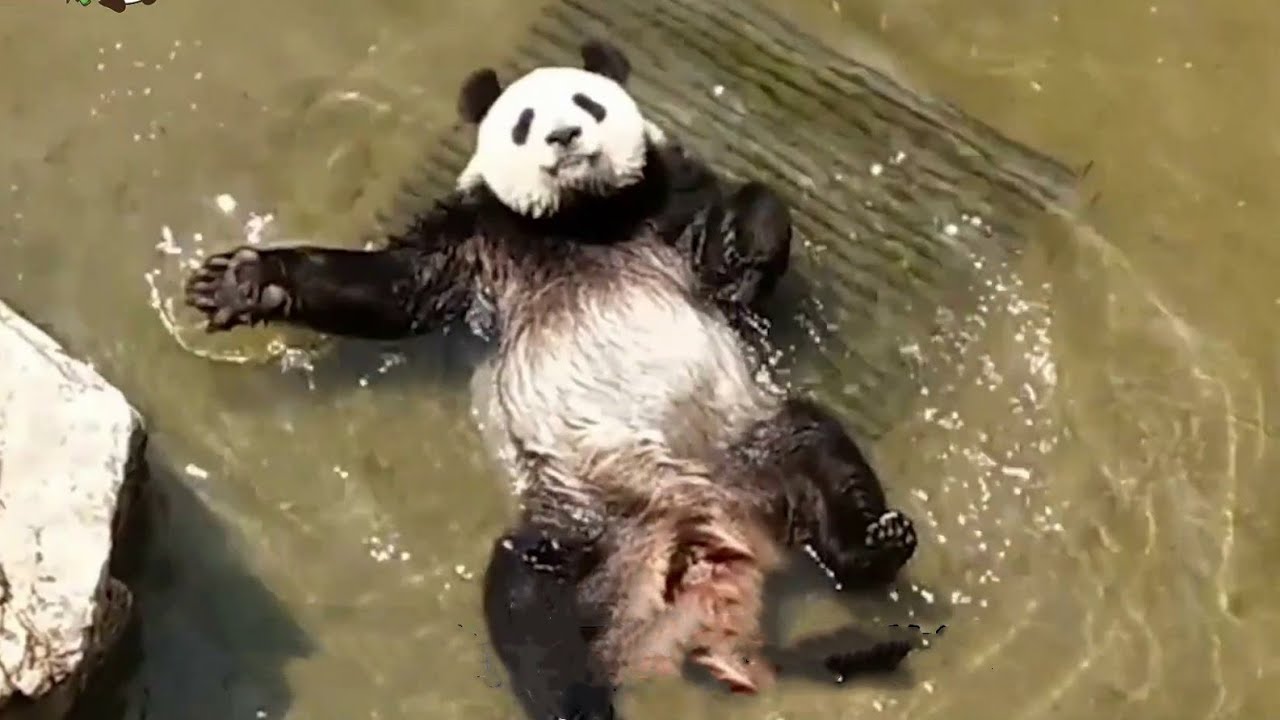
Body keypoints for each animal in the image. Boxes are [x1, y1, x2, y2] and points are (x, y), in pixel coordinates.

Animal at [183, 40, 919, 720]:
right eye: (525, 121)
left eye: (587, 104)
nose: (565, 139)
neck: (578, 219)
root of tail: (697, 526)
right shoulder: (478, 240)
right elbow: (394, 289)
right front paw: (244, 282)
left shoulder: (668, 200)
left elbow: (747, 208)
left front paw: (744, 255)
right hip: (577, 516)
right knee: (526, 604)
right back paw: (575, 701)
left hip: (745, 441)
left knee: (821, 448)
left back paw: (871, 545)